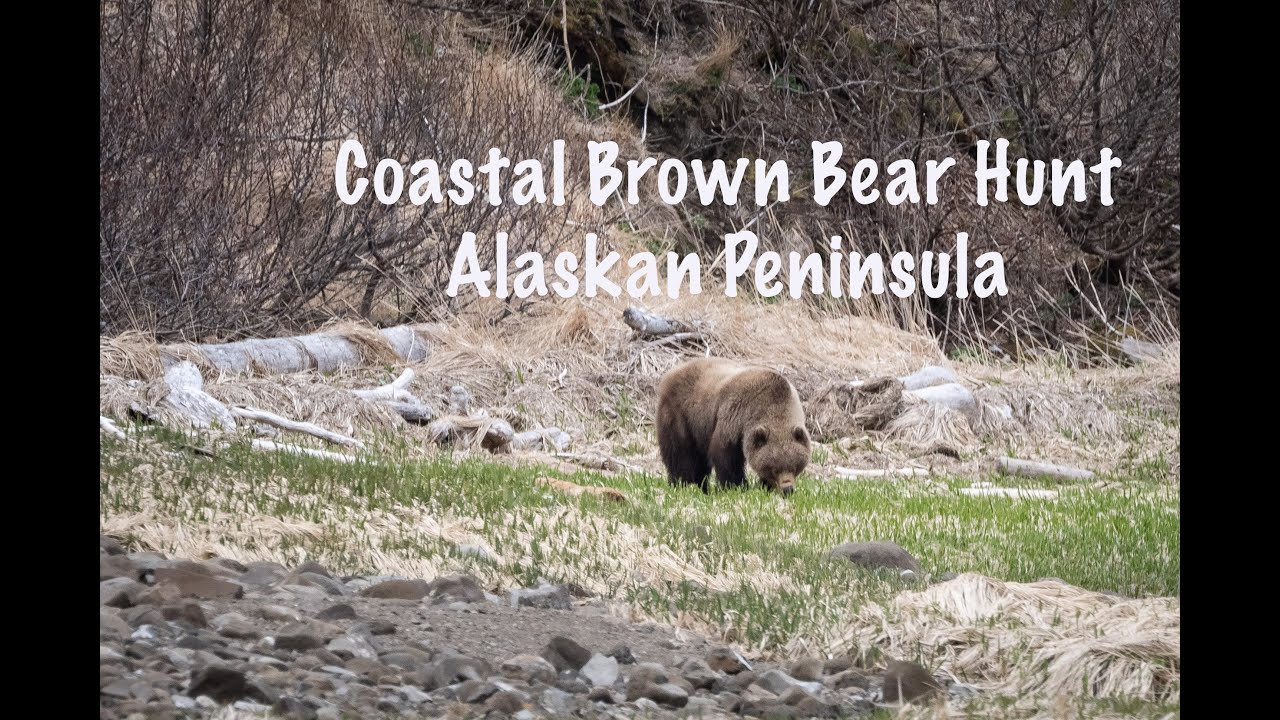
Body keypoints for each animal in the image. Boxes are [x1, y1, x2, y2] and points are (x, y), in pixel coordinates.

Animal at [655, 357, 811, 495]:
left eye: (795, 466)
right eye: (774, 469)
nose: (787, 489)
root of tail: (671, 373)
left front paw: (765, 486)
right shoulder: (734, 417)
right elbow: (726, 457)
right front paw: (737, 486)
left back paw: (702, 487)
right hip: (681, 413)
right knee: (680, 454)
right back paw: (683, 484)